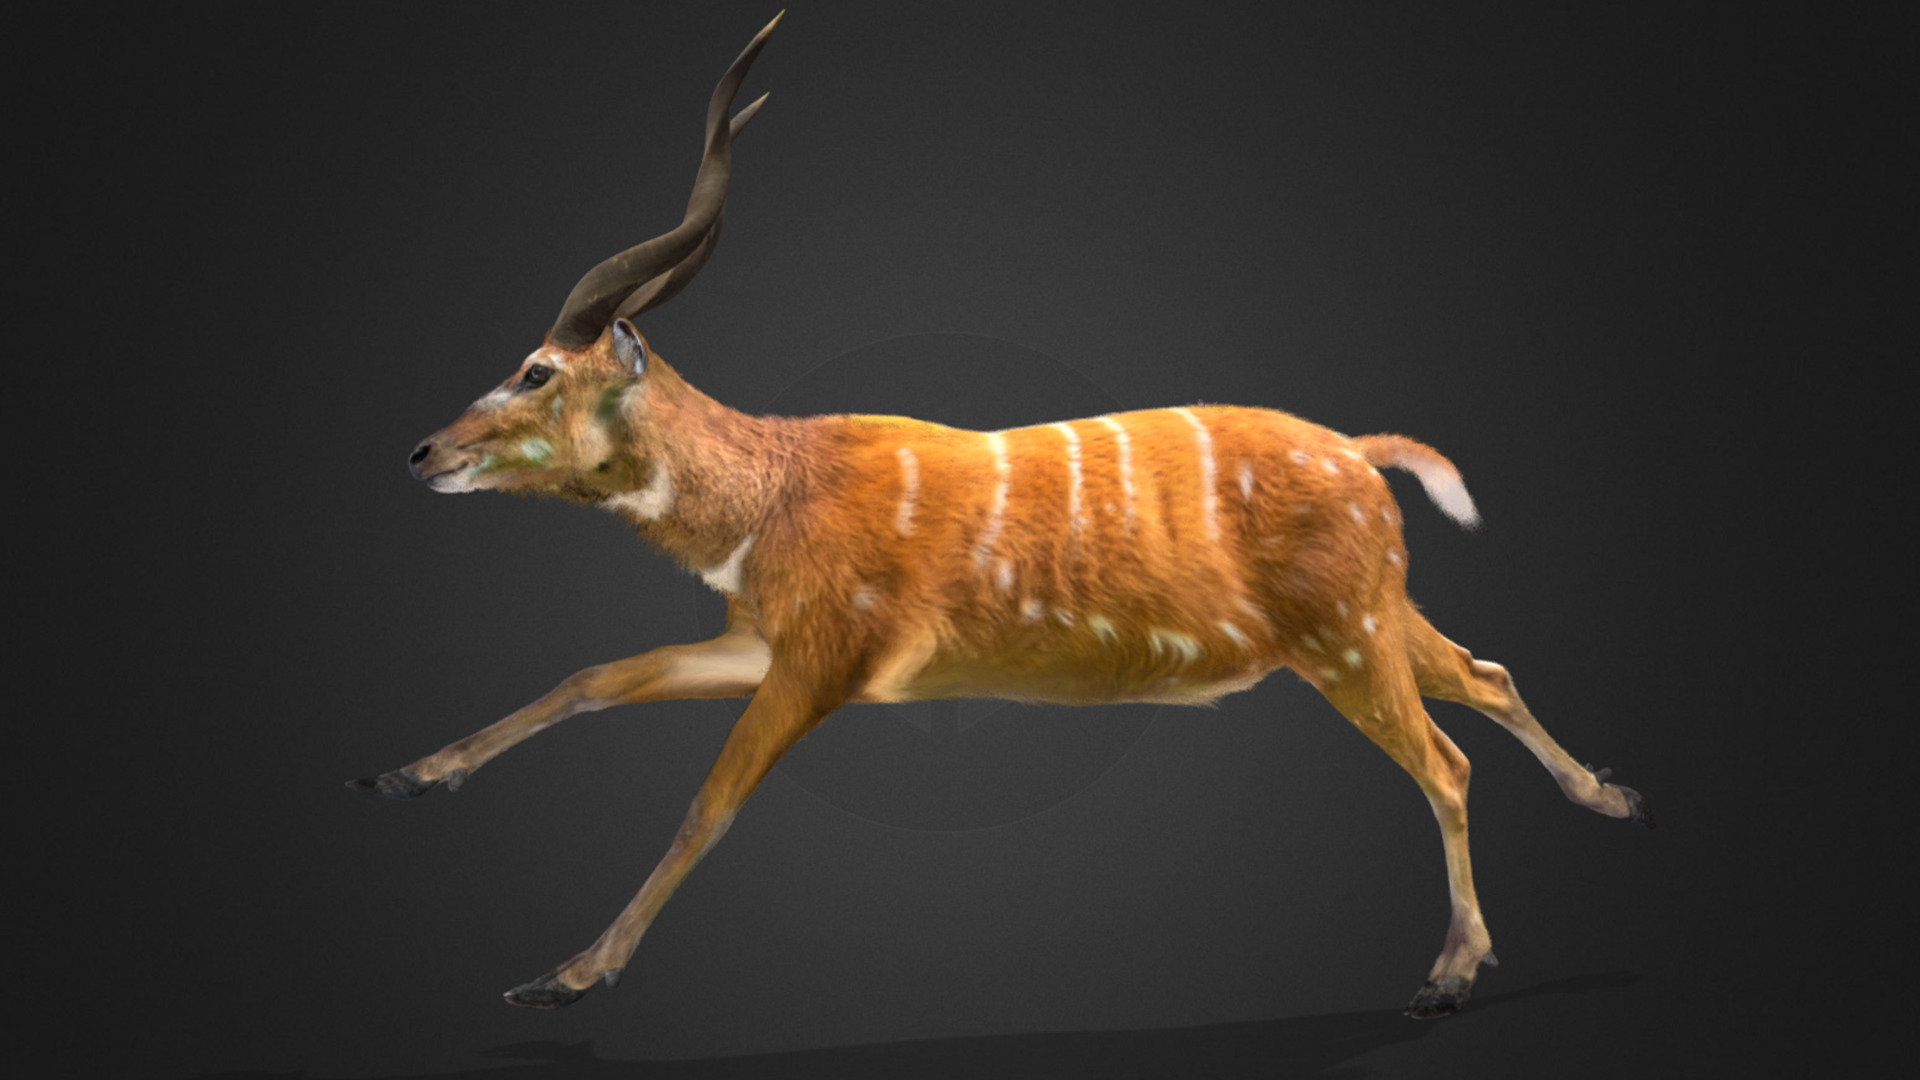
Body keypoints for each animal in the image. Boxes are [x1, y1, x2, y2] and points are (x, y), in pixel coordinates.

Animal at [356, 12, 1654, 1020]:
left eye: (534, 370)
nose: (422, 454)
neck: (772, 494)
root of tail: (1362, 457)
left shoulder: (826, 660)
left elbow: (706, 806)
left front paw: (567, 977)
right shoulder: (761, 639)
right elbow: (593, 678)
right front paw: (402, 780)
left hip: (1341, 634)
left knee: (1445, 760)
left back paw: (1450, 974)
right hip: (1371, 615)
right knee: (1483, 672)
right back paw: (1614, 797)